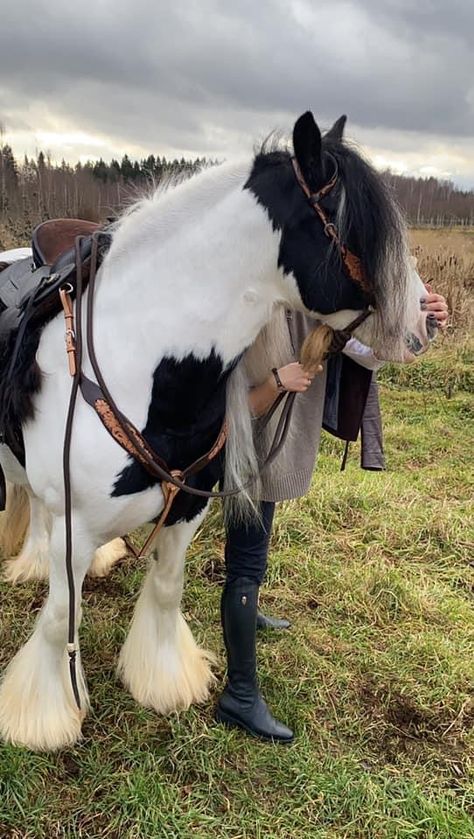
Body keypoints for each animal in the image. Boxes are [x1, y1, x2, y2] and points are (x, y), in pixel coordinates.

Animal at [0, 113, 432, 756]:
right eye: (362, 231)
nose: (429, 319)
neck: (140, 360)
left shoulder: (185, 511)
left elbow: (165, 589)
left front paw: (164, 681)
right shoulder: (75, 523)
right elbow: (58, 619)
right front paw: (45, 717)